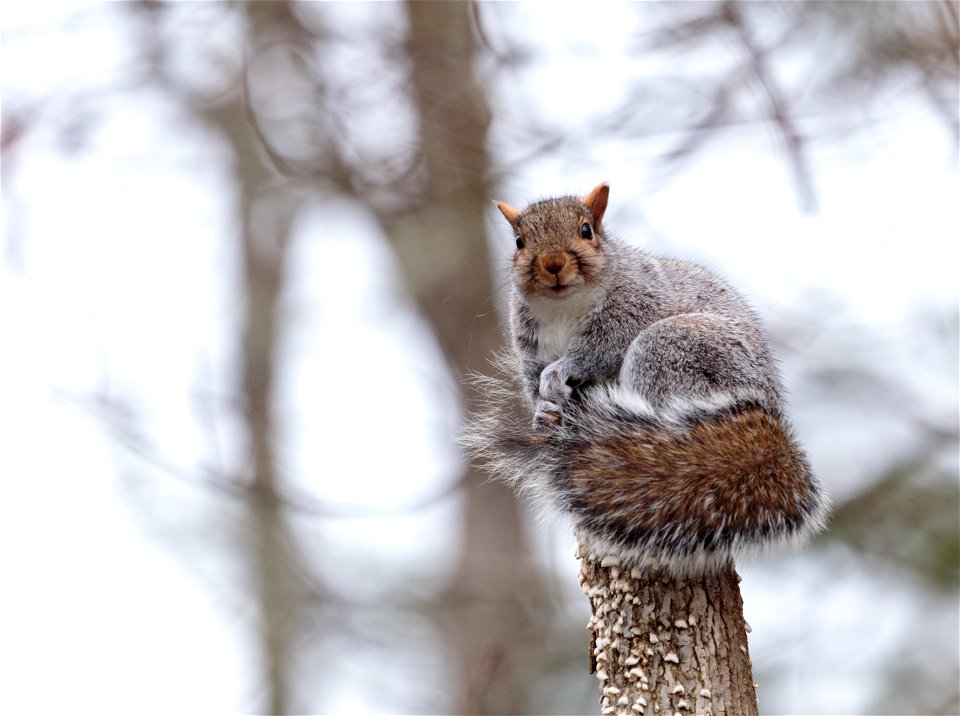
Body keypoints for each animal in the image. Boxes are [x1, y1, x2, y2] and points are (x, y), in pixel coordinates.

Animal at [464, 183, 824, 572]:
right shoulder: (529, 345)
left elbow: (599, 350)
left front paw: (560, 371)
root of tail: (769, 406)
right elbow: (533, 384)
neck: (562, 307)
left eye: (586, 230)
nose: (553, 264)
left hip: (672, 350)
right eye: (519, 242)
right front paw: (542, 413)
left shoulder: (634, 305)